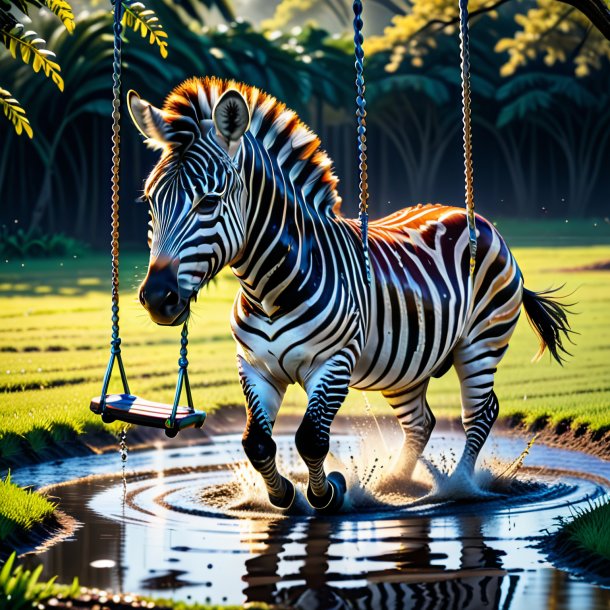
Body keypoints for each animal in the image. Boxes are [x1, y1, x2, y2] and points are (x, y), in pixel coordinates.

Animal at [128, 77, 568, 512]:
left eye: (208, 202)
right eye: (150, 200)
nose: (157, 298)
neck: (268, 289)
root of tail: (475, 217)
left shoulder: (334, 363)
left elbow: (310, 438)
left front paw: (328, 492)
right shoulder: (255, 367)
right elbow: (256, 442)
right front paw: (282, 495)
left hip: (480, 343)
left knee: (480, 412)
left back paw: (457, 486)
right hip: (406, 366)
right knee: (421, 421)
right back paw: (393, 482)